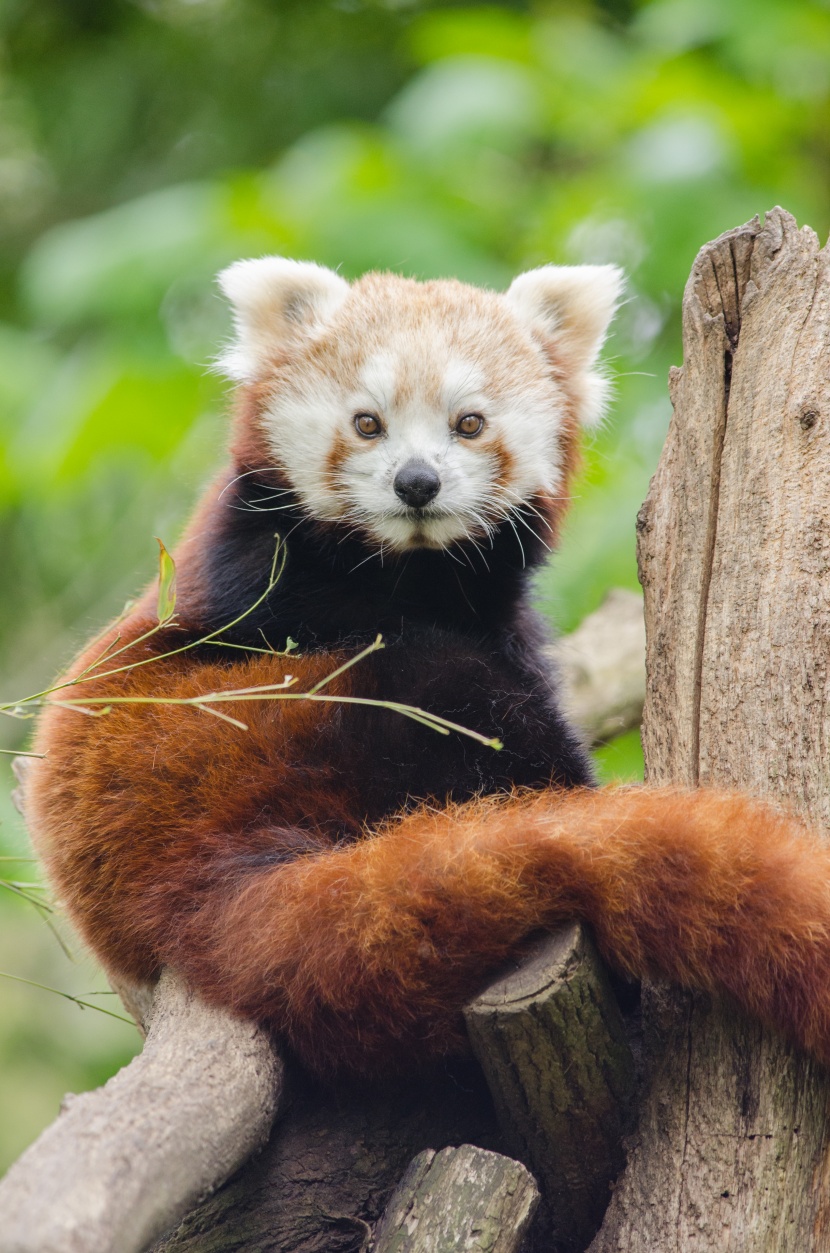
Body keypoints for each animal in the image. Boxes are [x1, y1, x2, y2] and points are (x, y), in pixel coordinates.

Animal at [26, 256, 830, 1077]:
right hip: (269, 718)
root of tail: (181, 879)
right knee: (451, 694)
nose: (416, 481)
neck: (410, 572)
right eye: (367, 422)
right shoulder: (267, 582)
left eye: (468, 422)